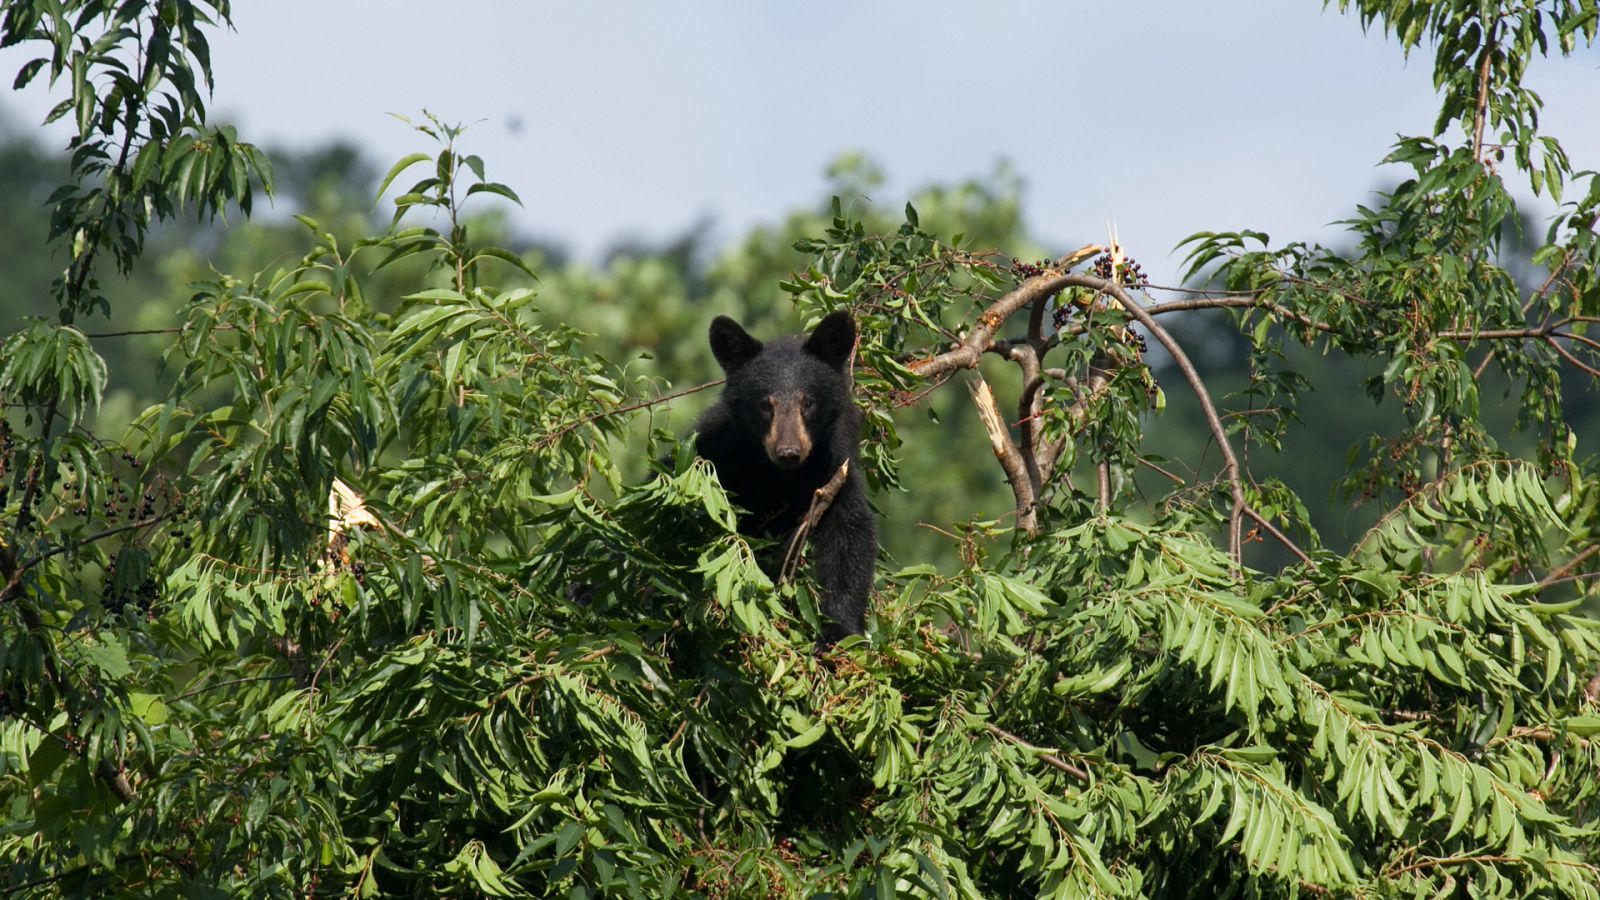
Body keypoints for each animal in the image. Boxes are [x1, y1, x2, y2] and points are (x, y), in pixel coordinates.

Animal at [697, 310, 883, 637]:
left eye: (808, 402)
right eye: (764, 404)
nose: (788, 452)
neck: (780, 474)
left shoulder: (835, 463)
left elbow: (849, 531)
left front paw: (839, 629)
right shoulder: (718, 449)